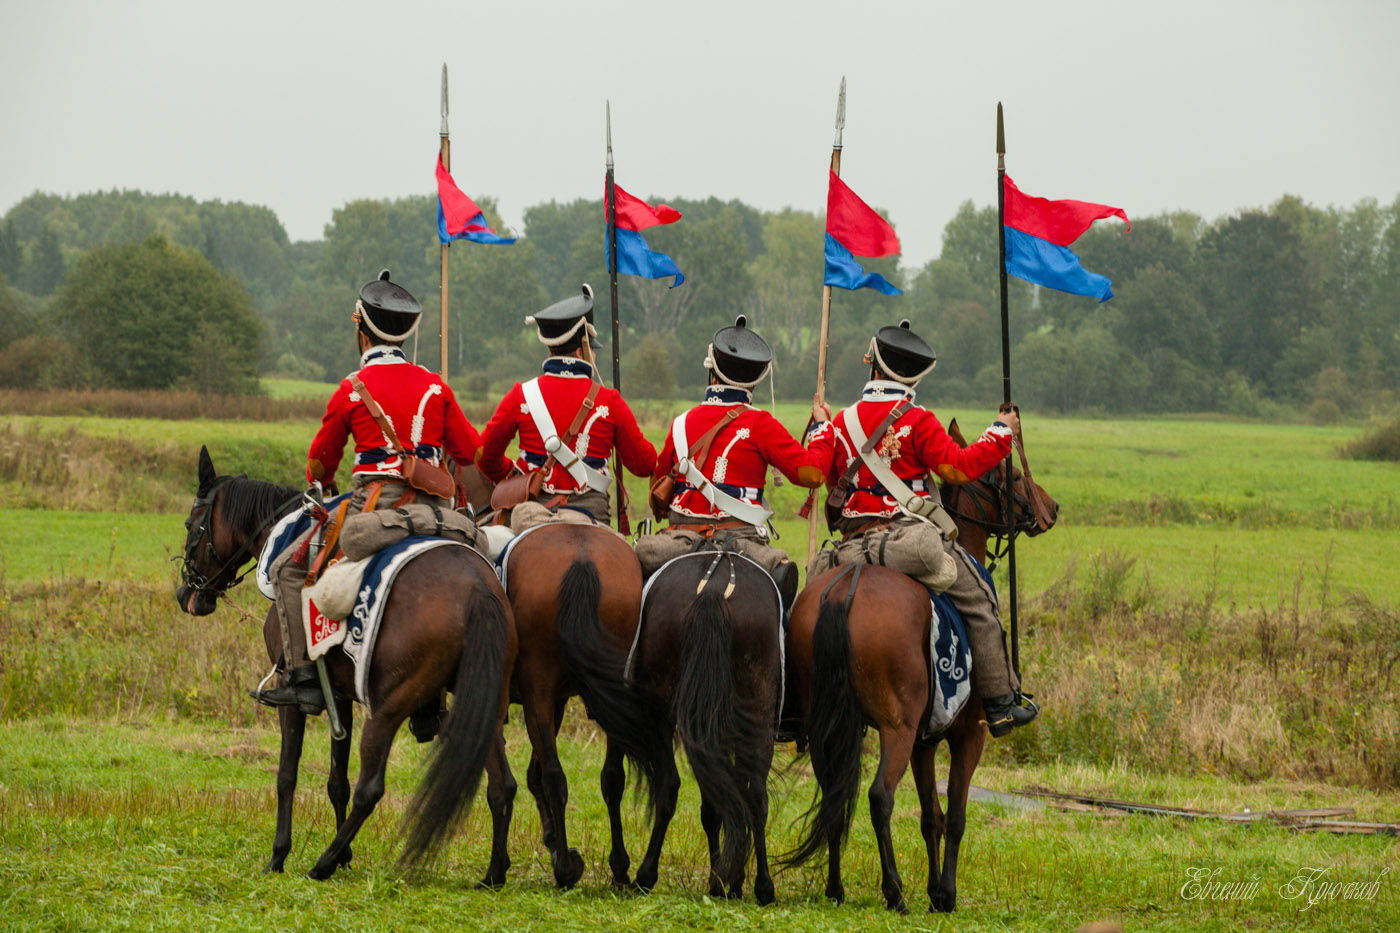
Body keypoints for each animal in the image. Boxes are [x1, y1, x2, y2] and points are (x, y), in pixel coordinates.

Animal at [177, 448, 518, 874]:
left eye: (191, 524)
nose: (186, 593)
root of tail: (477, 588)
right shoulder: (339, 694)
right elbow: (336, 781)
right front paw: (345, 858)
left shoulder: (294, 693)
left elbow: (287, 774)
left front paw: (280, 854)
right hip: (484, 702)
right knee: (503, 786)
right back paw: (493, 873)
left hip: (388, 709)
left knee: (371, 788)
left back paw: (322, 863)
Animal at [784, 442, 1052, 907]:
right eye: (1016, 476)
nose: (1050, 508)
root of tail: (845, 588)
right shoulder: (966, 736)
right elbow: (956, 816)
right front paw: (946, 894)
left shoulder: (924, 743)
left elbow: (931, 816)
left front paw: (934, 890)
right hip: (898, 727)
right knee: (879, 796)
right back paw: (894, 890)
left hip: (830, 726)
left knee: (835, 790)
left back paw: (835, 887)